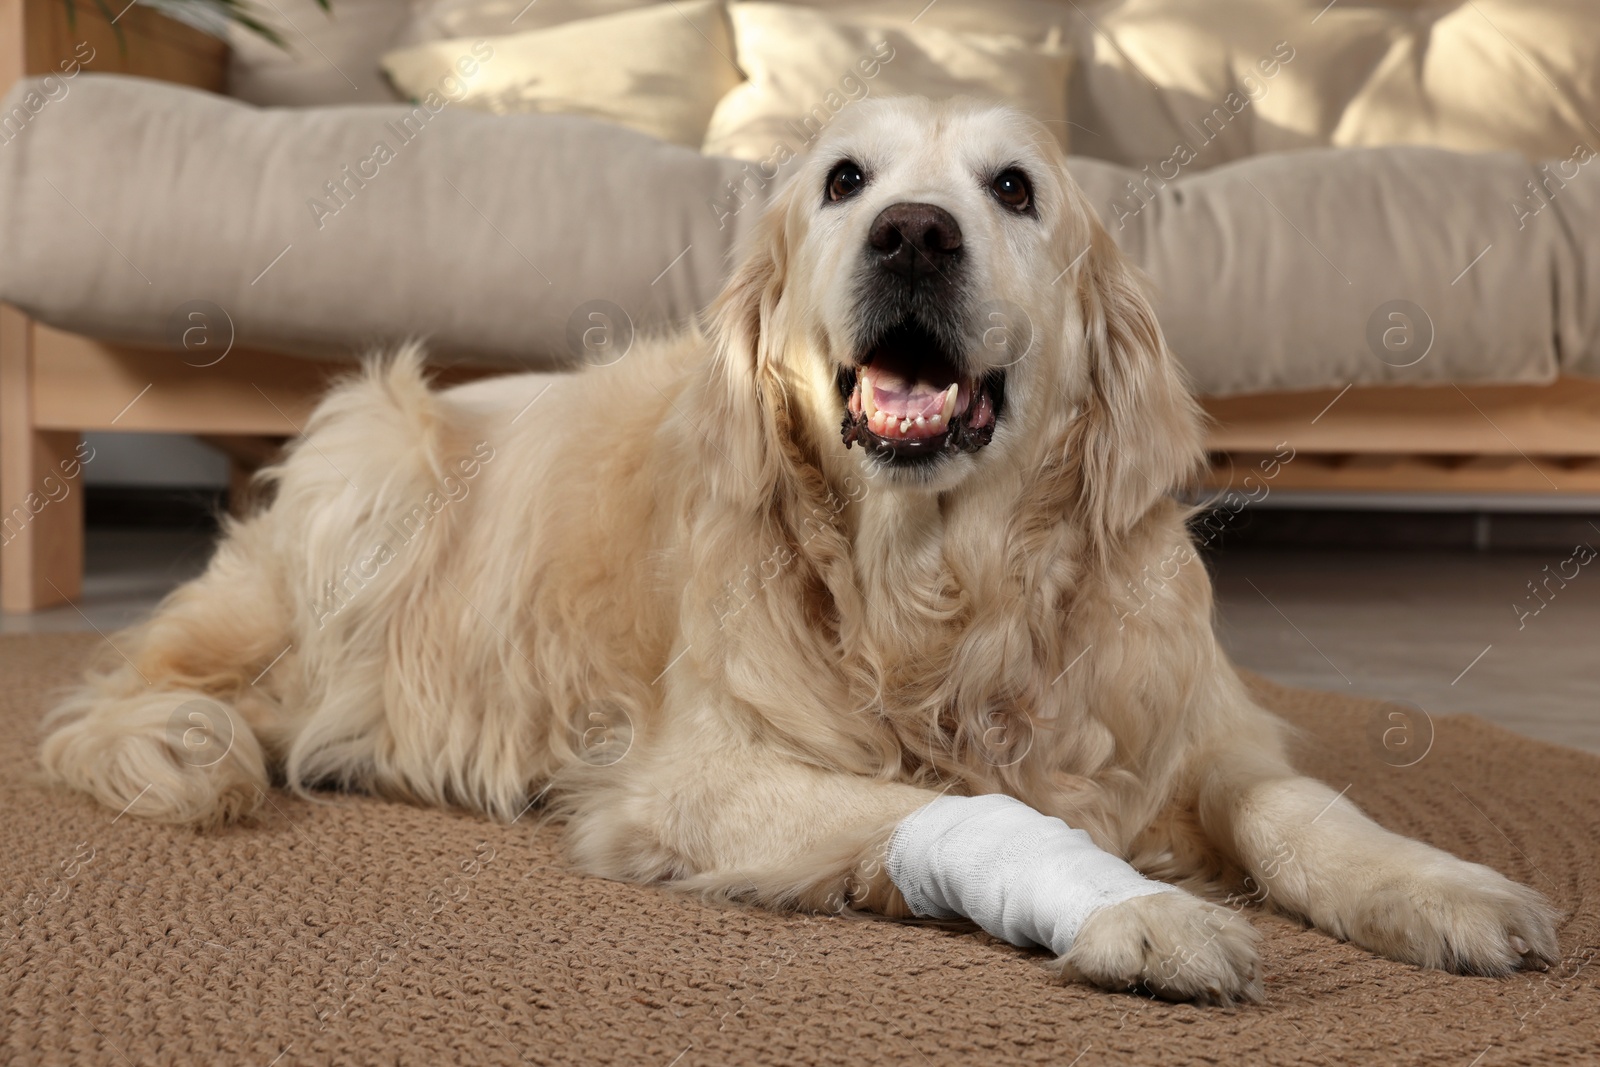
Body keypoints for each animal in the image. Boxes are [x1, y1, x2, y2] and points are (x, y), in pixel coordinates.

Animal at [43, 95, 1555, 1004]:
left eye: (1014, 189)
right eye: (845, 180)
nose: (913, 233)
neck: (943, 596)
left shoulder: (1204, 725)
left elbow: (1305, 809)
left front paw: (1437, 886)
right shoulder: (696, 776)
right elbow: (941, 810)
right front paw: (1134, 908)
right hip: (374, 451)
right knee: (136, 695)